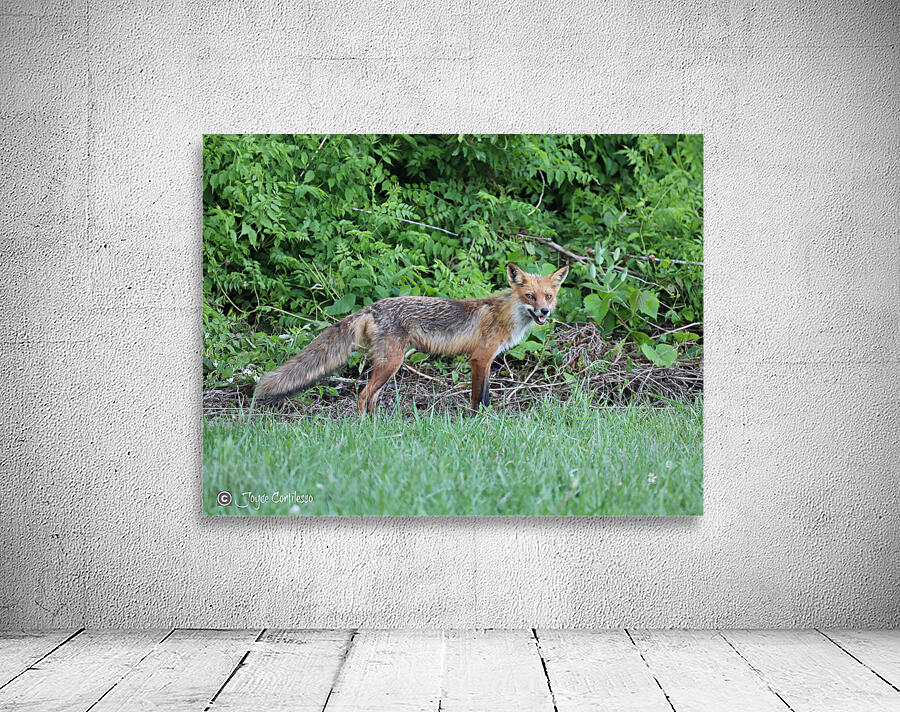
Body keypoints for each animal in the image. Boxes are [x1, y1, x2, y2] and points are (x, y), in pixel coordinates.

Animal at [254, 262, 569, 414]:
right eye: (530, 296)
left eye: (548, 296)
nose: (544, 311)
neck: (505, 315)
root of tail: (373, 307)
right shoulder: (480, 359)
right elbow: (477, 399)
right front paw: (478, 423)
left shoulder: (488, 360)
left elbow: (487, 397)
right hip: (391, 363)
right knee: (363, 395)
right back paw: (363, 432)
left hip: (388, 365)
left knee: (372, 398)